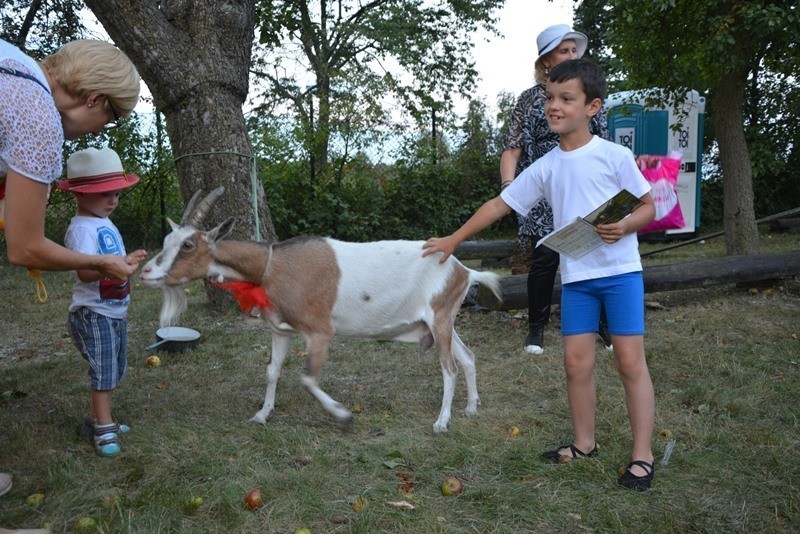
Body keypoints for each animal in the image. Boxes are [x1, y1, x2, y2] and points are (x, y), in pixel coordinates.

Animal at [138, 188, 500, 436]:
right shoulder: (280, 330)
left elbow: (307, 378)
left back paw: (442, 422)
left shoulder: (319, 331)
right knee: (467, 357)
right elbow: (272, 371)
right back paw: (470, 408)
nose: (145, 273)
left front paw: (343, 416)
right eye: (167, 240)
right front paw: (262, 415)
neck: (273, 266)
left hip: (439, 318)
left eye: (188, 245)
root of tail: (463, 269)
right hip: (444, 321)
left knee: (449, 368)